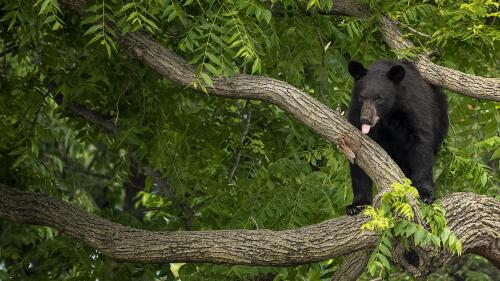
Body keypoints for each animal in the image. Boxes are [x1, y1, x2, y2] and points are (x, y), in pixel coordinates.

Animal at [346, 59, 448, 214]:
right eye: (362, 97)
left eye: (379, 98)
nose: (365, 120)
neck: (388, 114)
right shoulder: (355, 115)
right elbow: (358, 157)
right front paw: (357, 204)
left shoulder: (412, 108)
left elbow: (421, 144)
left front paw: (424, 194)